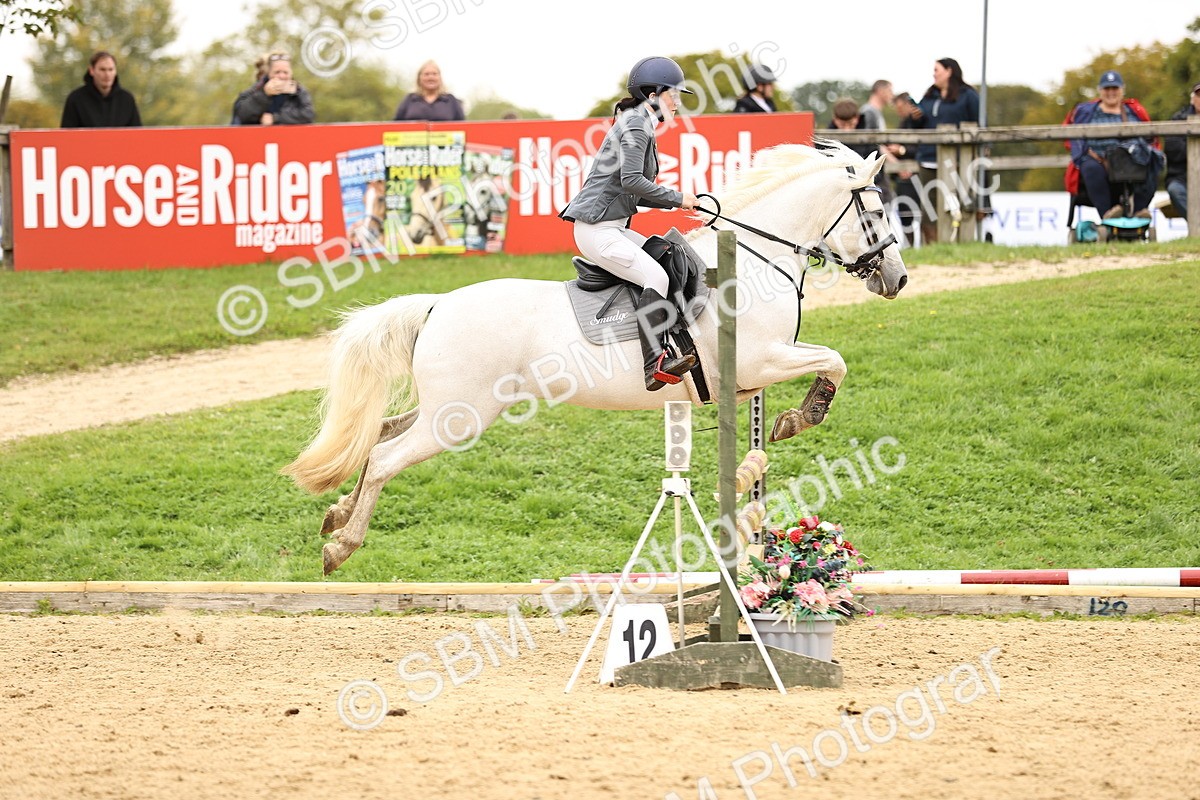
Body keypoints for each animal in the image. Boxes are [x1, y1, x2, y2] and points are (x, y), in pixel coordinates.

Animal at [283, 141, 909, 574]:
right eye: (876, 215)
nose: (898, 279)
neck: (755, 261)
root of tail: (439, 304)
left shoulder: (759, 371)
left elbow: (825, 363)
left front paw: (790, 419)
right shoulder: (762, 361)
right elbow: (834, 360)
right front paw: (802, 416)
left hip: (446, 408)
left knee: (379, 436)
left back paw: (337, 514)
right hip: (458, 419)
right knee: (387, 458)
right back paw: (342, 545)